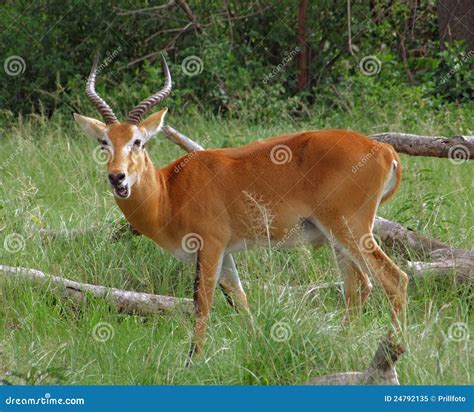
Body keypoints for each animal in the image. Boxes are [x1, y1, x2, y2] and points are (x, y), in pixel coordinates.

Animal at [74, 54, 408, 358]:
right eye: (104, 142)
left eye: (138, 141)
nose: (117, 177)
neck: (169, 192)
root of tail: (384, 149)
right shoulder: (226, 253)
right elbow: (240, 300)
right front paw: (258, 344)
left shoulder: (209, 246)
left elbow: (203, 303)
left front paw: (193, 361)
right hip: (335, 237)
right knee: (358, 286)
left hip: (350, 228)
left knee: (394, 279)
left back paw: (394, 346)